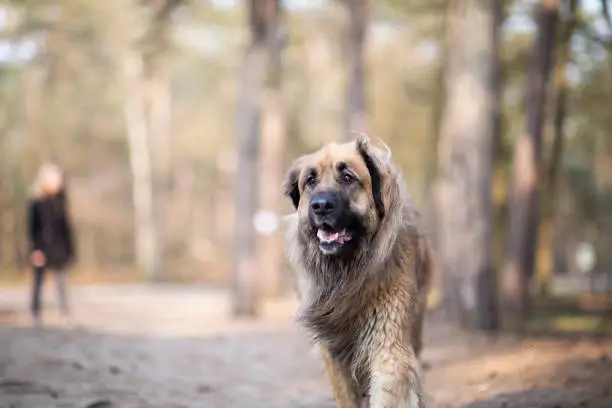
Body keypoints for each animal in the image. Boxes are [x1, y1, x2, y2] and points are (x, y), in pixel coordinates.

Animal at [284, 135, 436, 408]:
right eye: (310, 180)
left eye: (348, 177)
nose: (320, 206)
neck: (347, 274)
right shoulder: (334, 353)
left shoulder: (389, 345)